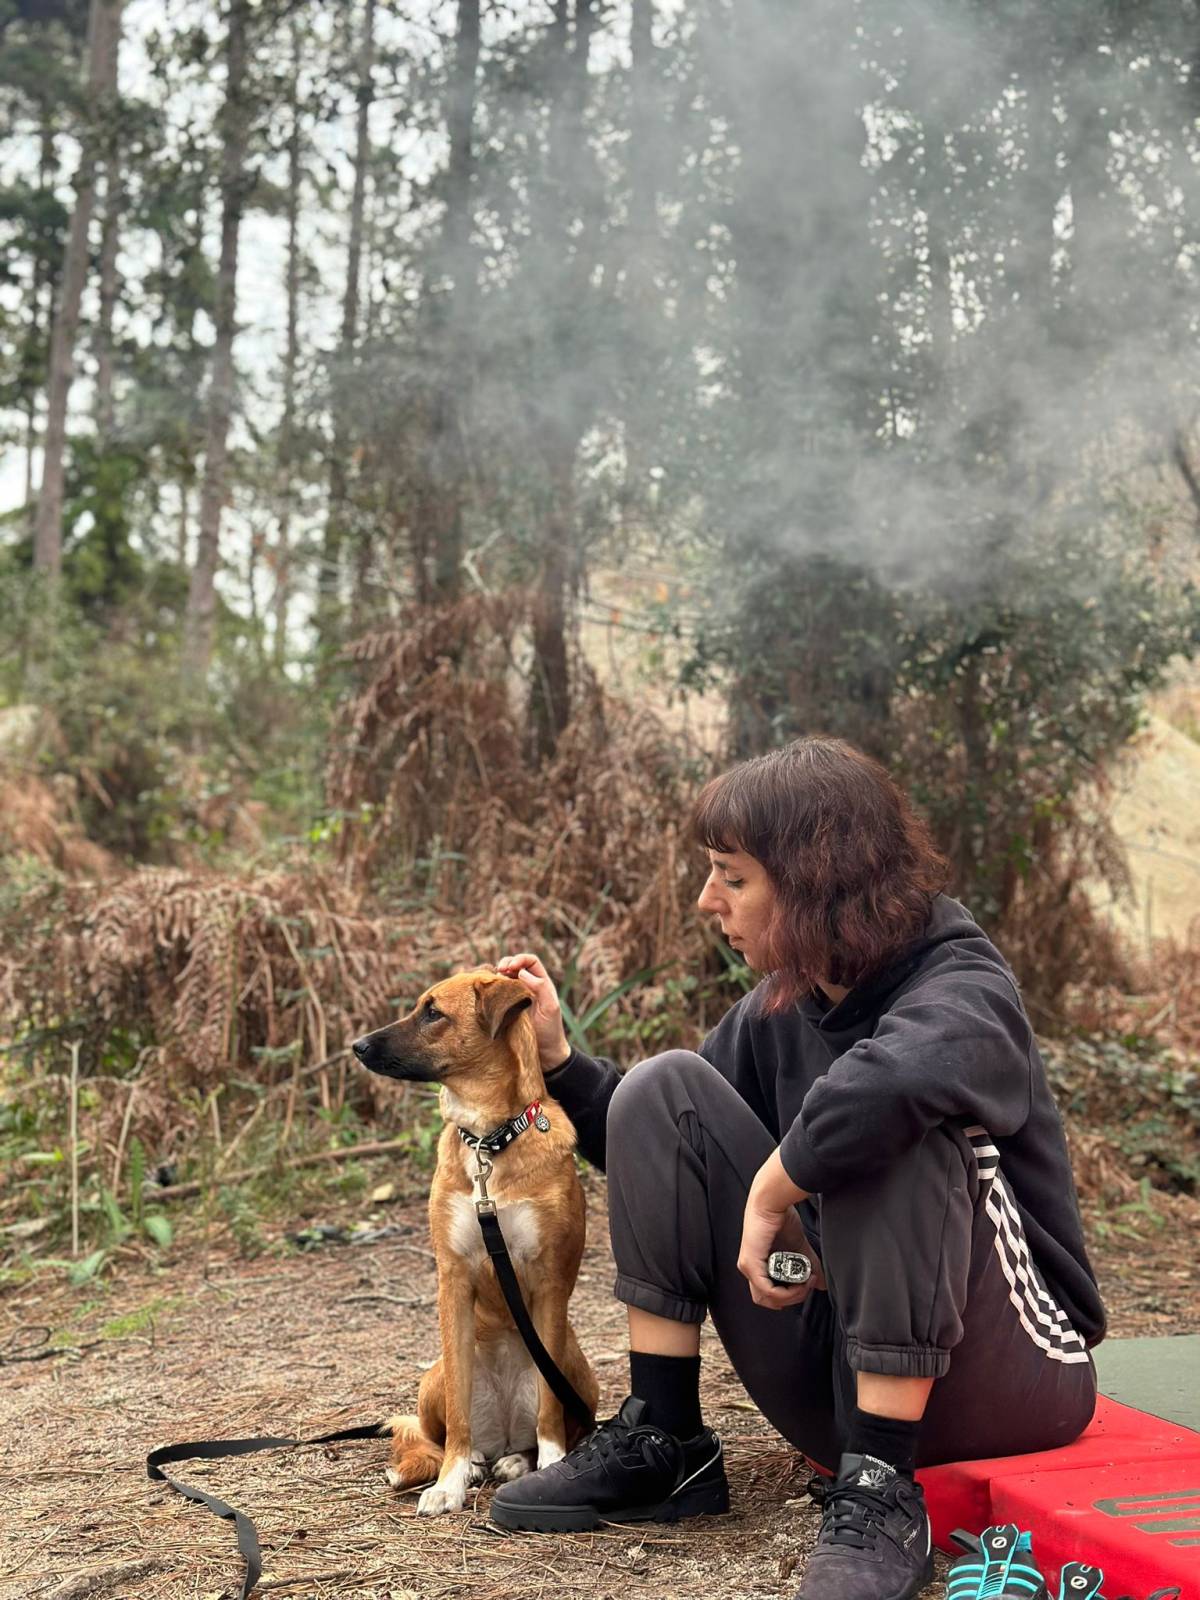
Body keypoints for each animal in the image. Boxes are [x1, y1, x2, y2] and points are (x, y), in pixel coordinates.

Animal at [355, 960, 601, 1510]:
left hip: (576, 1370)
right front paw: (450, 1482)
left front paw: (551, 1465)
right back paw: (464, 1464)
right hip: (435, 1378)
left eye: (433, 1013)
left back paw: (519, 1460)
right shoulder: (454, 1278)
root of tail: (504, 1432)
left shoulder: (548, 1281)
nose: (357, 1045)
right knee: (440, 1431)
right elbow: (459, 1420)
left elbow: (550, 1410)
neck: (490, 1140)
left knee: (551, 1418)